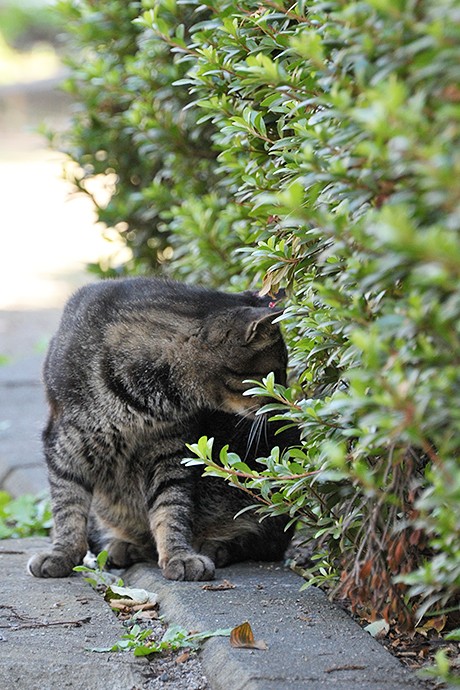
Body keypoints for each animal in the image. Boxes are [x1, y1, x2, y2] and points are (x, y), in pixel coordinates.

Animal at [28, 276, 294, 576]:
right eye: (276, 373)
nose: (284, 403)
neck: (147, 400)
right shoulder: (65, 442)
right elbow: (67, 504)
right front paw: (62, 553)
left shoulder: (171, 451)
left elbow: (171, 506)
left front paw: (179, 555)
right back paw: (122, 547)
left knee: (265, 541)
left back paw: (215, 545)